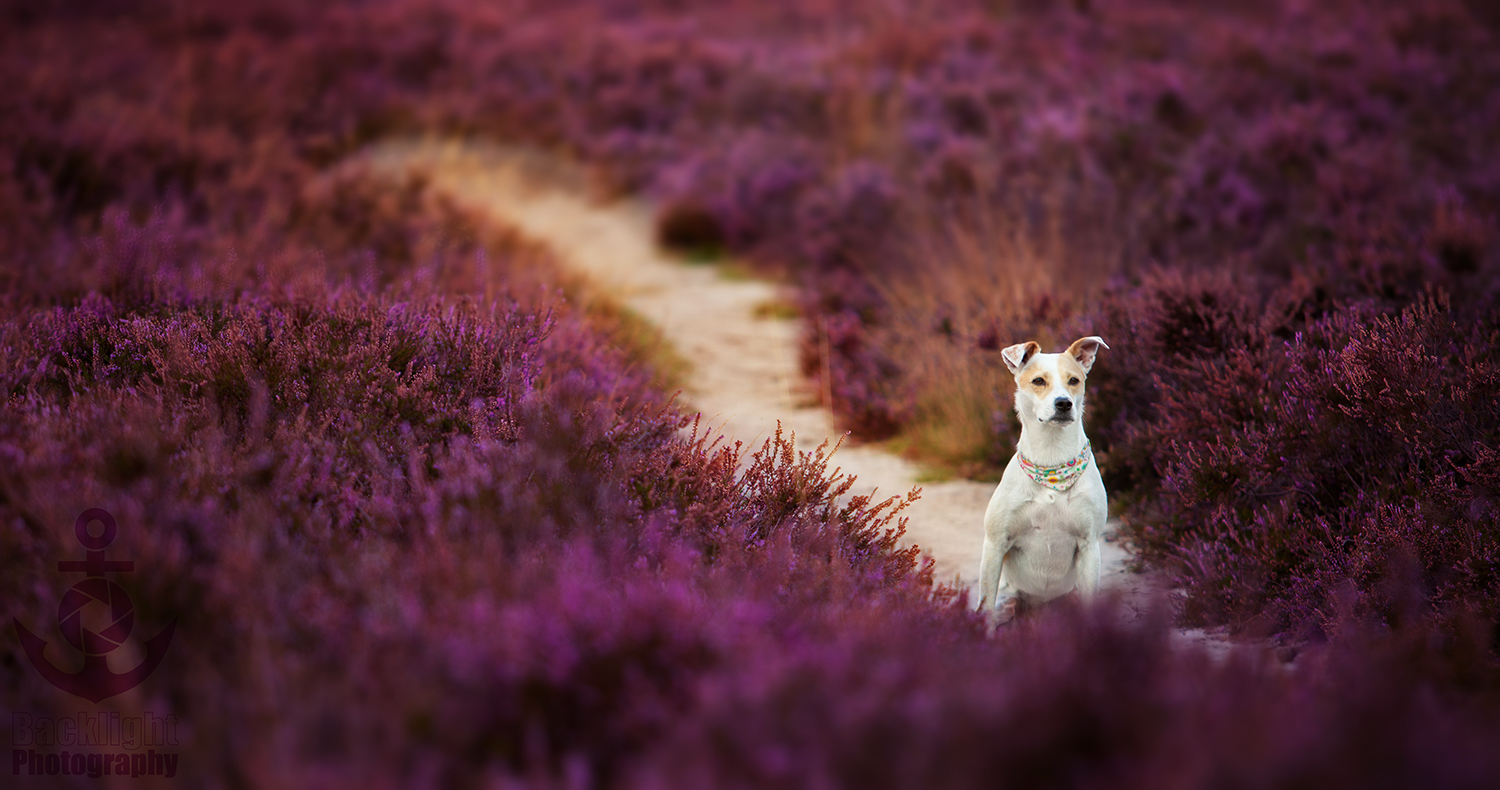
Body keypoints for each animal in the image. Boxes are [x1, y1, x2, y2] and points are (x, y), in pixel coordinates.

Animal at [978, 337, 1110, 620]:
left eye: (1074, 380)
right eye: (1038, 381)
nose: (1064, 403)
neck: (1052, 461)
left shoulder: (1089, 546)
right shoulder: (995, 545)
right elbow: (986, 606)